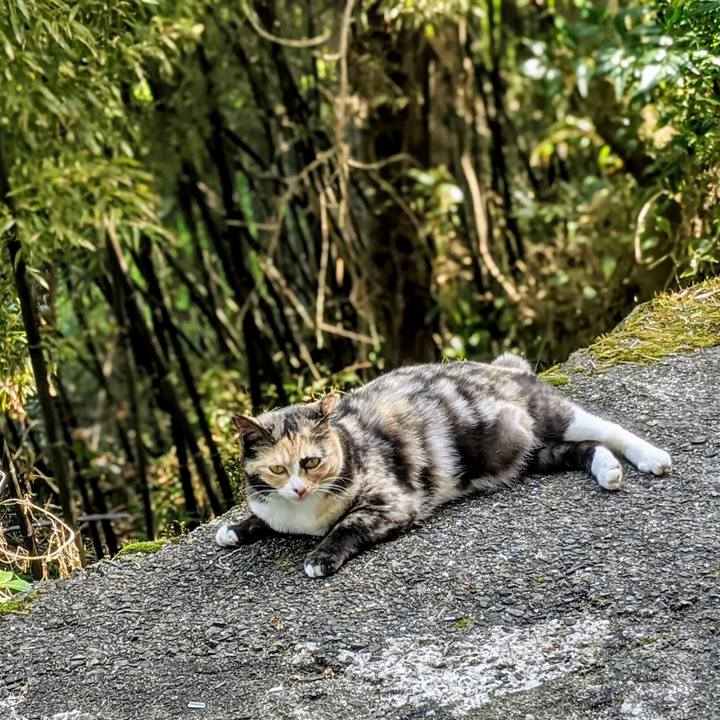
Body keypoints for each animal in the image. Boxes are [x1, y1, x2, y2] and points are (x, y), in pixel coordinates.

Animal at [215, 353, 671, 577]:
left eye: (312, 461)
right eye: (278, 469)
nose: (299, 488)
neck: (303, 515)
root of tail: (502, 366)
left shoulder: (392, 503)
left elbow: (347, 525)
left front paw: (320, 556)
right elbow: (261, 519)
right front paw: (234, 529)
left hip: (549, 414)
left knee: (606, 428)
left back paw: (652, 458)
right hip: (530, 452)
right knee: (583, 449)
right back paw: (607, 471)